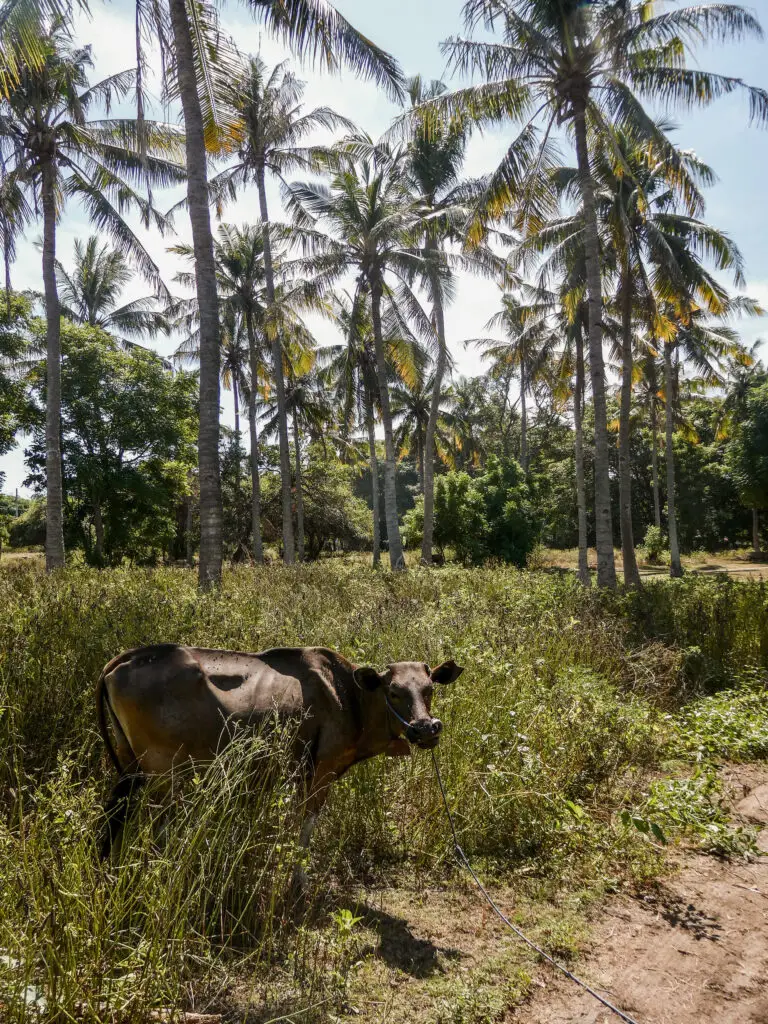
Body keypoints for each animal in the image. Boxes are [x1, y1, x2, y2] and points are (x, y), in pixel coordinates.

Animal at [99, 643, 466, 860]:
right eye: (394, 691)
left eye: (429, 689)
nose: (426, 728)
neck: (350, 697)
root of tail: (124, 658)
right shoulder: (322, 771)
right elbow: (305, 829)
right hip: (164, 775)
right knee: (155, 828)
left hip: (131, 767)